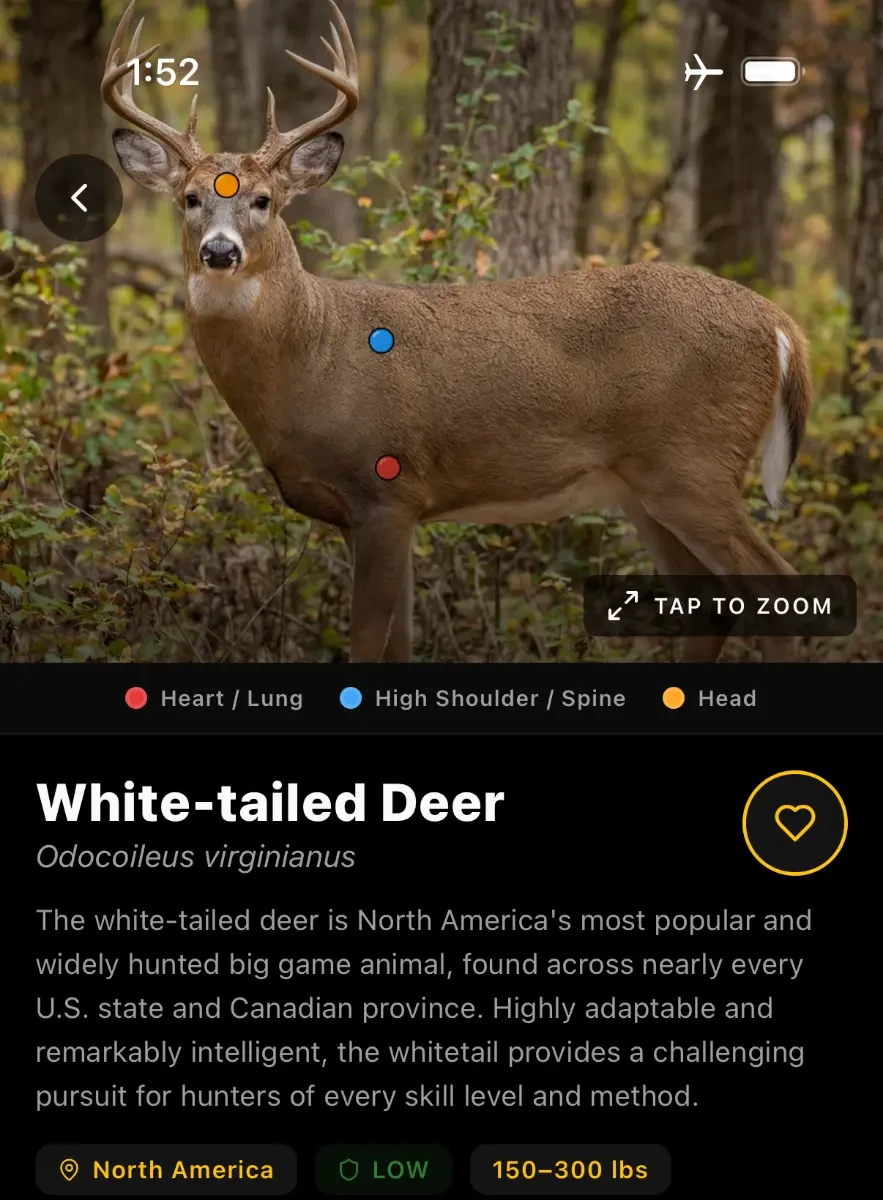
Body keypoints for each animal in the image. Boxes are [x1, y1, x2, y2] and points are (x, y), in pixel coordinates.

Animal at [102, 0, 812, 663]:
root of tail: (782, 325)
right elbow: (400, 644)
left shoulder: (386, 491)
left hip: (694, 462)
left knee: (774, 587)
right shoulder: (378, 513)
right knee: (710, 602)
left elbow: (368, 642)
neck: (313, 359)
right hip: (645, 487)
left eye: (263, 200)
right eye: (190, 198)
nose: (220, 252)